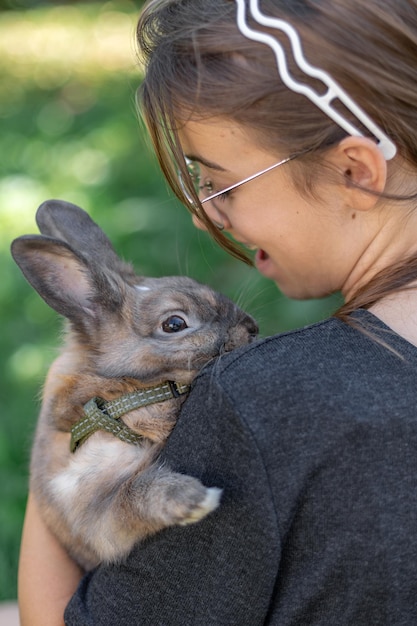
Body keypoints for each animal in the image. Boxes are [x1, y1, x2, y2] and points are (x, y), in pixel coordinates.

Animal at [11, 197, 258, 568]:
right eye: (174, 324)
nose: (251, 328)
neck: (120, 396)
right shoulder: (94, 508)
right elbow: (134, 495)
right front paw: (197, 499)